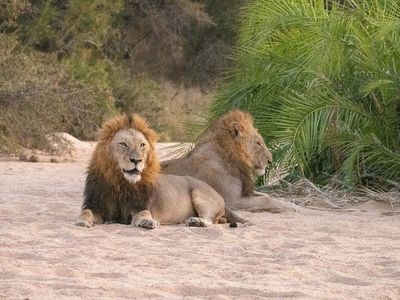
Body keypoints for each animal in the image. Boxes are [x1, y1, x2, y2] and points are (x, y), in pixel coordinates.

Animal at [76, 113, 228, 229]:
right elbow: (86, 212)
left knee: (209, 219)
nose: (136, 160)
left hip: (199, 194)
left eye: (142, 145)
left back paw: (196, 221)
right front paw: (82, 221)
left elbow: (145, 214)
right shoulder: (97, 207)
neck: (121, 183)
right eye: (123, 144)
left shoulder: (139, 206)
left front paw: (147, 222)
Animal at [162, 110, 296, 213]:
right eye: (258, 143)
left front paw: (292, 204)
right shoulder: (232, 201)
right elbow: (266, 200)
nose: (270, 161)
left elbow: (267, 195)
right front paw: (292, 207)